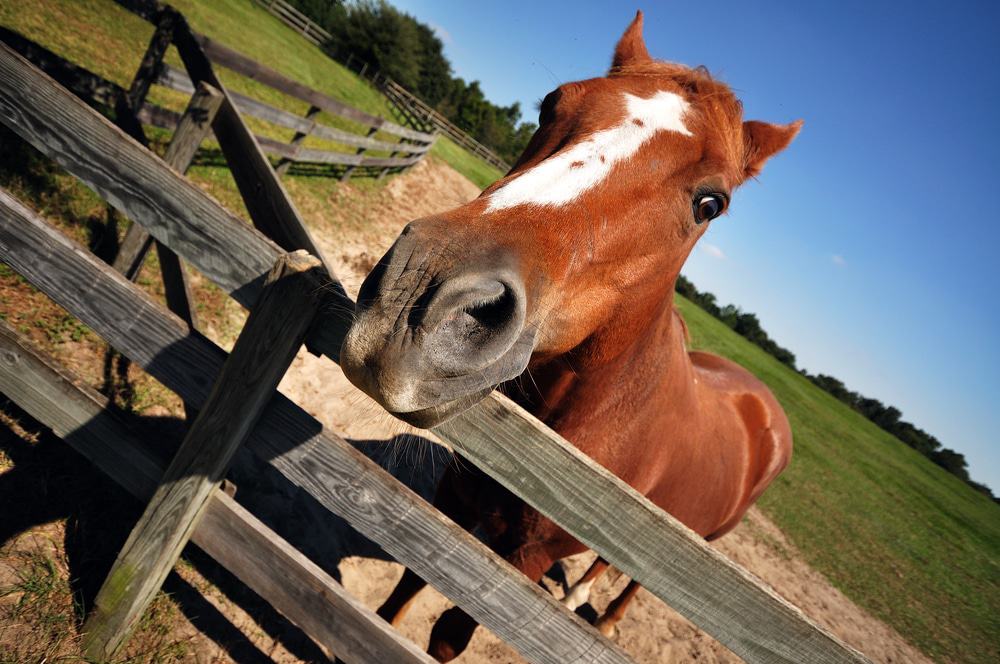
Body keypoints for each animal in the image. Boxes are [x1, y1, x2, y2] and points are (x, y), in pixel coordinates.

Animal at [340, 11, 799, 661]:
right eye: (550, 105)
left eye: (711, 203)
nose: (420, 295)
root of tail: (763, 405)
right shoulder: (456, 495)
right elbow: (408, 582)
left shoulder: (526, 556)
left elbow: (451, 632)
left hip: (704, 540)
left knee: (634, 577)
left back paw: (599, 614)